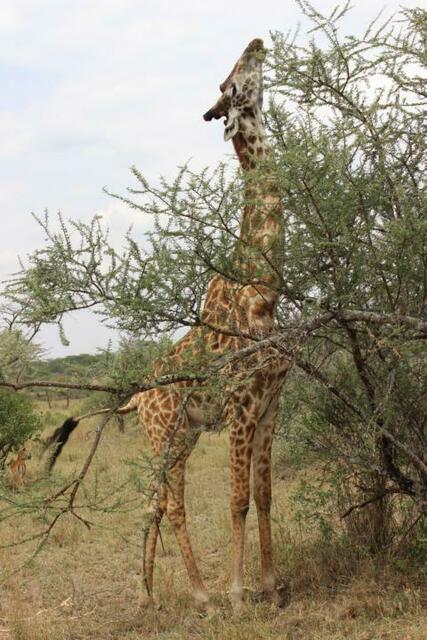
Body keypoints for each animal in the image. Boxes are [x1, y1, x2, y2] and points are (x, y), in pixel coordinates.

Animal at [47, 38, 289, 610]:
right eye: (229, 83)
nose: (256, 42)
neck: (262, 292)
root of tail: (136, 398)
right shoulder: (241, 408)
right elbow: (238, 500)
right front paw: (239, 593)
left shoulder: (271, 404)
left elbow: (266, 496)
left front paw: (272, 585)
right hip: (165, 438)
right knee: (169, 504)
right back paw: (198, 595)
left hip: (181, 438)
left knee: (153, 504)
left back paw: (151, 594)